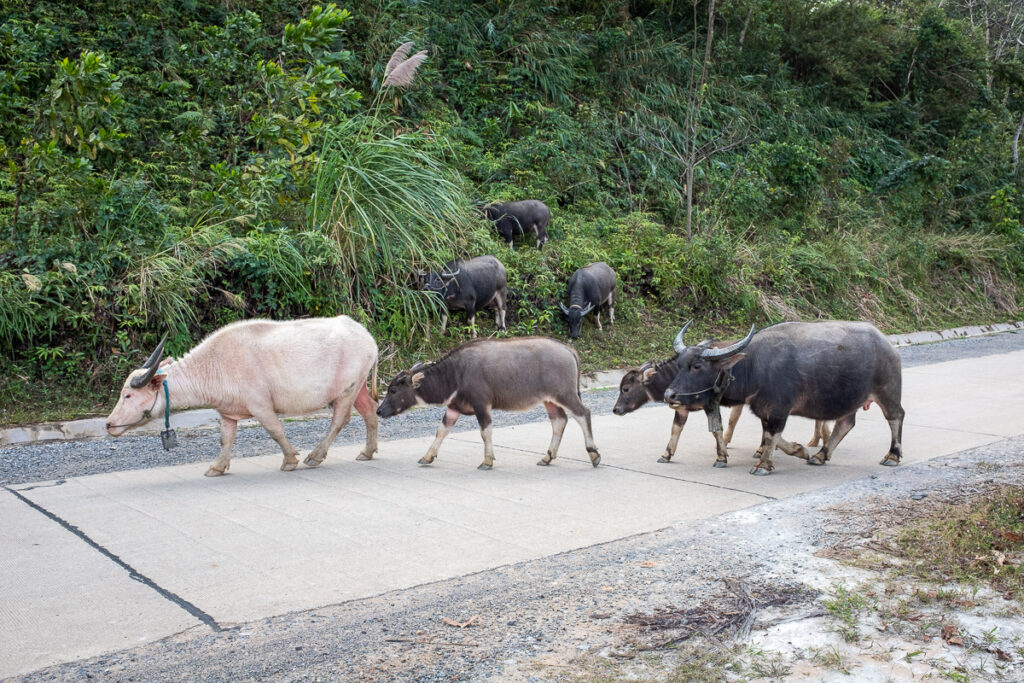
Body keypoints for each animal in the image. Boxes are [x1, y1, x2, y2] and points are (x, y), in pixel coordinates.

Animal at [104, 317, 380, 479]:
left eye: (128, 394)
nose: (108, 424)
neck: (214, 364)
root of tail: (366, 336)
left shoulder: (261, 406)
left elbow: (276, 431)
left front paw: (290, 460)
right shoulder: (226, 413)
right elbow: (226, 439)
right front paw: (216, 467)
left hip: (347, 391)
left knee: (340, 420)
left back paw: (315, 455)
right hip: (359, 388)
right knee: (370, 410)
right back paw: (367, 451)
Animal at [376, 335, 598, 471]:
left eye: (393, 390)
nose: (379, 411)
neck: (455, 374)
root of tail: (568, 349)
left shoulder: (481, 405)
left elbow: (485, 432)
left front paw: (487, 461)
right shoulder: (454, 407)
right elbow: (441, 431)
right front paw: (427, 456)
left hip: (565, 394)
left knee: (583, 413)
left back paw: (594, 454)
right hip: (550, 400)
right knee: (559, 421)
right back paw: (547, 457)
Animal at [659, 321, 901, 475]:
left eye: (697, 366)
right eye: (679, 364)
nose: (670, 395)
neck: (754, 366)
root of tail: (887, 343)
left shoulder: (778, 409)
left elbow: (772, 435)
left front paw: (764, 465)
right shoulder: (763, 408)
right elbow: (770, 436)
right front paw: (799, 450)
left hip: (888, 392)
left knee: (895, 417)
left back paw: (892, 456)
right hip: (851, 400)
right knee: (846, 423)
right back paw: (820, 455)